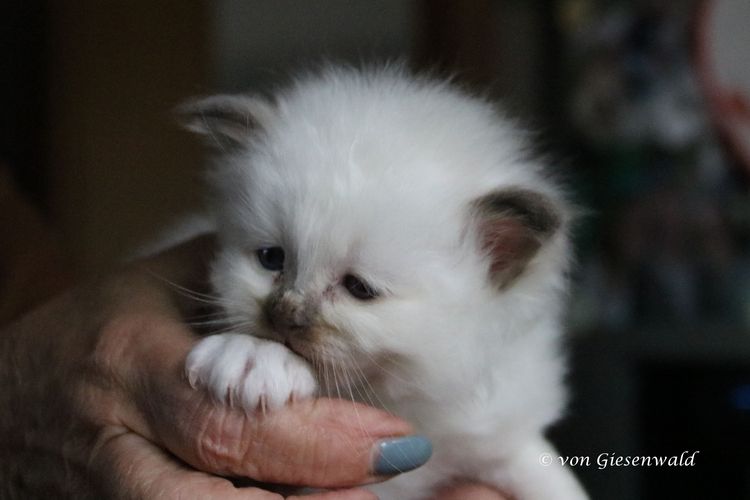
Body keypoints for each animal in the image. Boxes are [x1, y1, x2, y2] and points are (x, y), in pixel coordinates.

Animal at [179, 65, 588, 500]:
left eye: (359, 289)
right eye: (271, 258)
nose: (283, 316)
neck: (402, 405)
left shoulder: (497, 441)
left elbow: (551, 479)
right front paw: (253, 358)